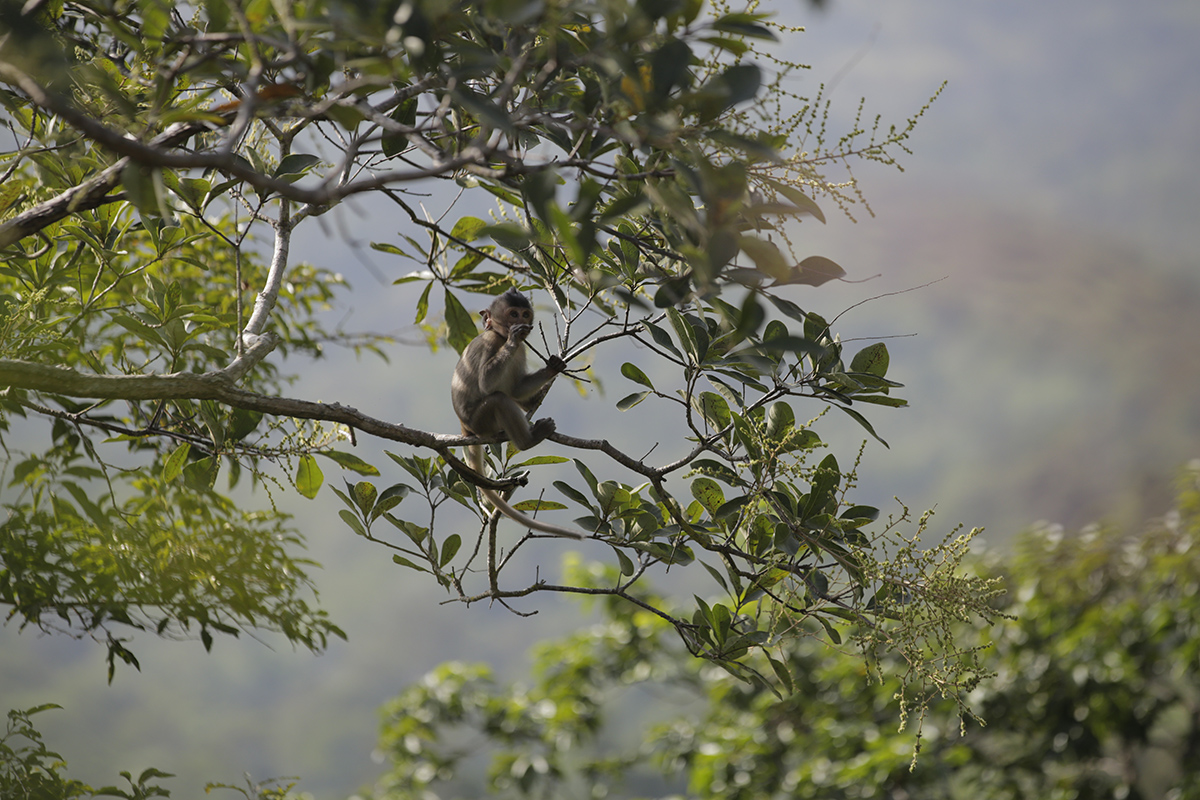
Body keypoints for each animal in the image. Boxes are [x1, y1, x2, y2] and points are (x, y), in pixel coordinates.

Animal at [451, 286, 590, 537]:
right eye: (513, 314)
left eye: (525, 314)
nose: (521, 323)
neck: (500, 336)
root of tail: (465, 427)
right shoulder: (491, 342)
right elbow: (487, 383)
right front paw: (514, 339)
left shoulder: (522, 350)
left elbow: (516, 388)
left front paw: (553, 368)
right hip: (481, 421)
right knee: (499, 399)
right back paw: (528, 440)